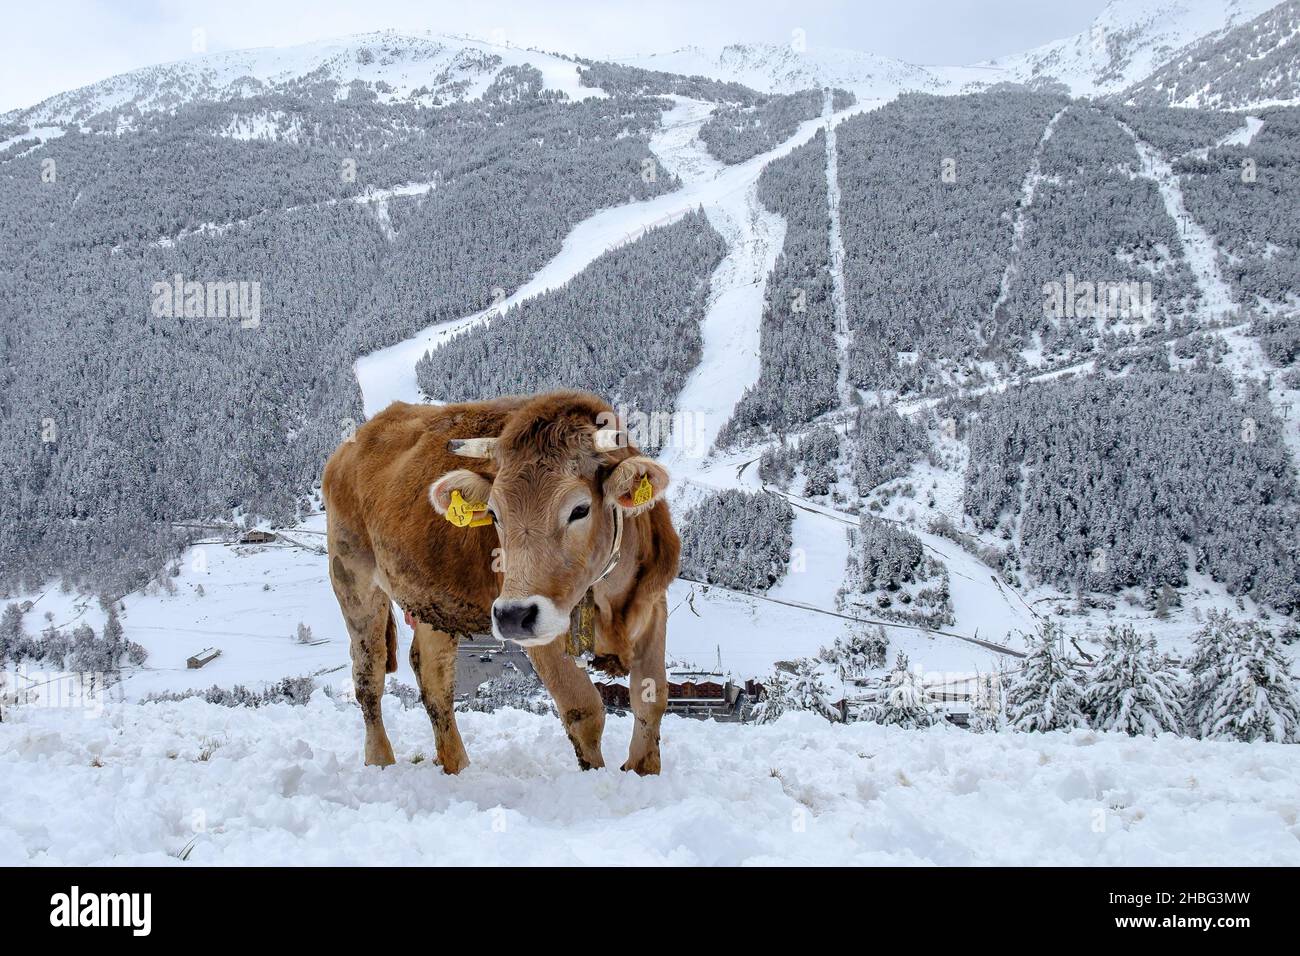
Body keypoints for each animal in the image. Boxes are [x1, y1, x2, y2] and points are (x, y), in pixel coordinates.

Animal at [319, 392, 681, 775]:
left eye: (580, 509)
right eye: (493, 513)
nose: (512, 615)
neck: (611, 598)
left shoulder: (653, 604)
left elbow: (652, 699)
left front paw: (642, 773)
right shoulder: (544, 637)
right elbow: (583, 709)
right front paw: (596, 778)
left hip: (434, 601)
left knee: (432, 675)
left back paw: (456, 765)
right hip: (352, 577)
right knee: (369, 673)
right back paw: (381, 761)